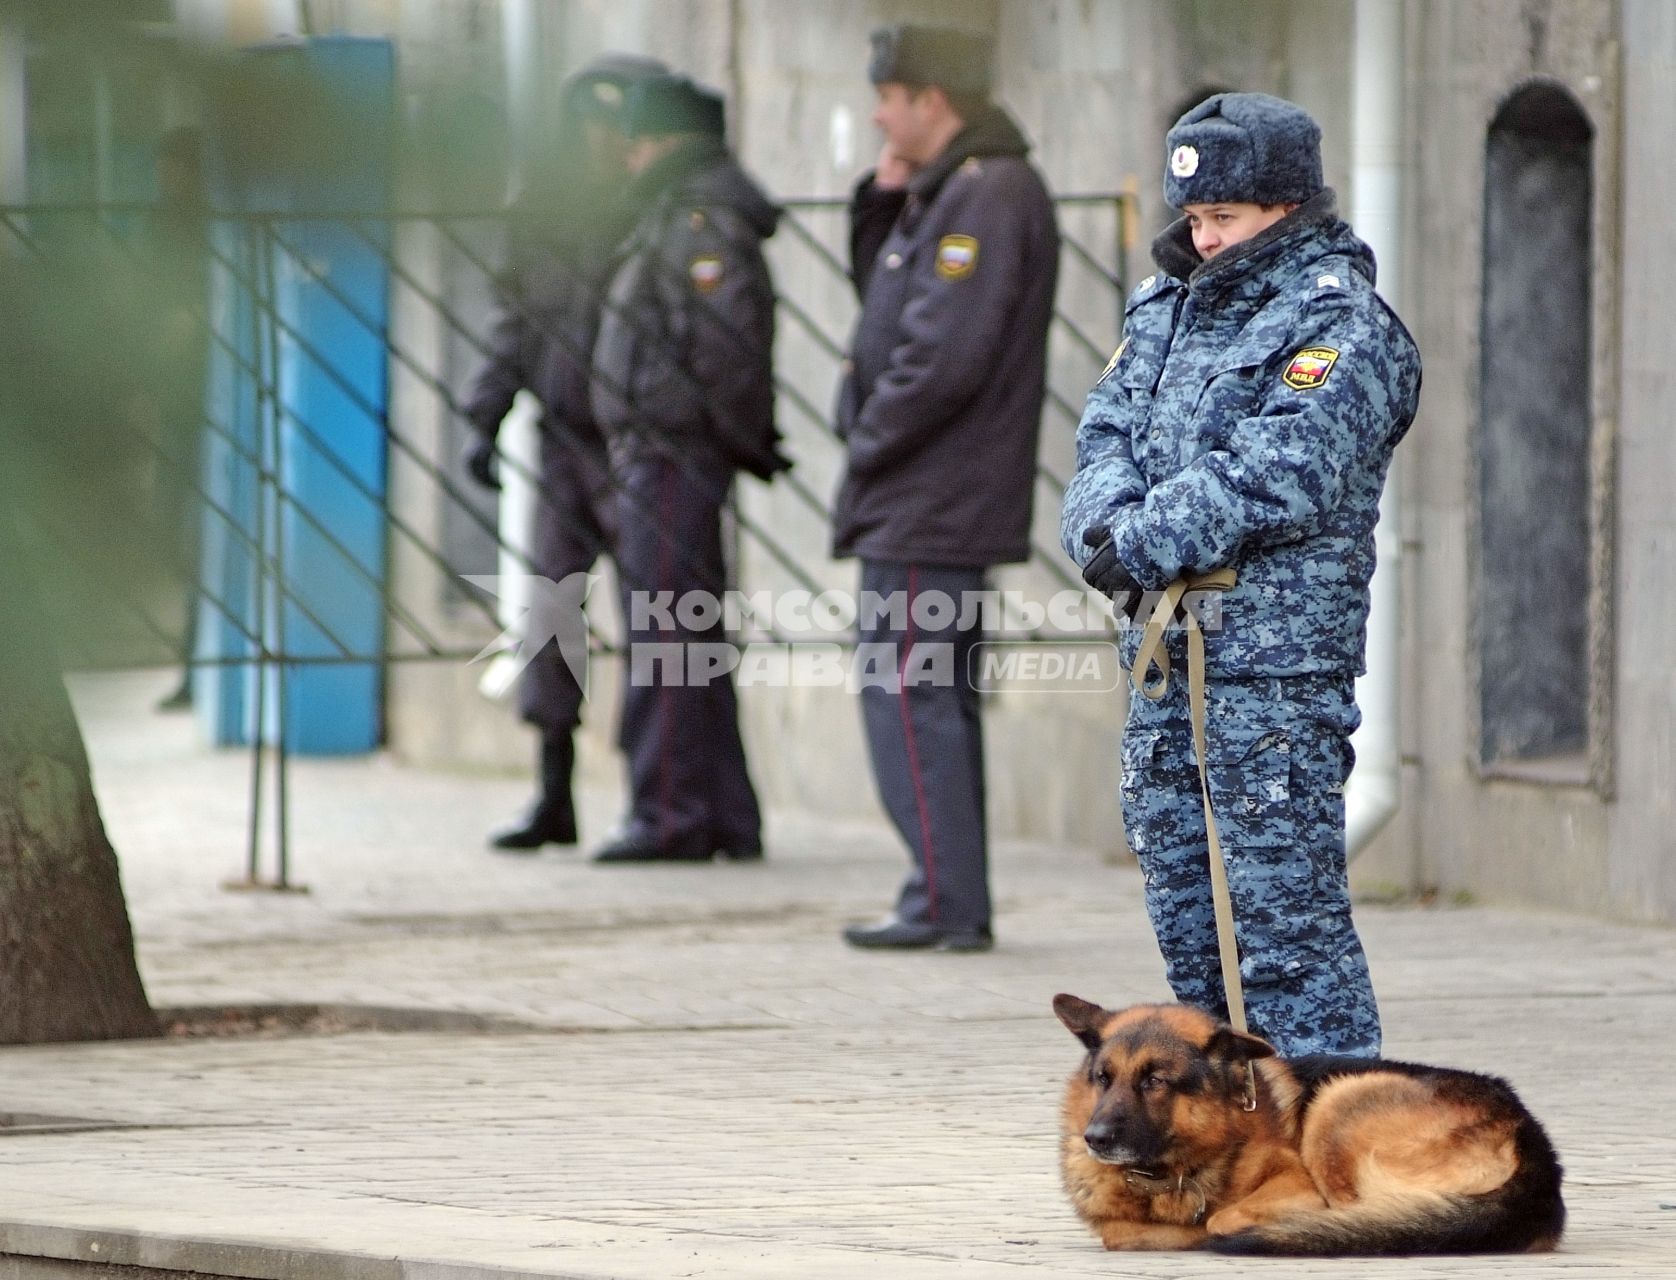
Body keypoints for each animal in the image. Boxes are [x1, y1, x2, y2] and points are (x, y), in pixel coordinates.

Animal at [1052, 991, 1562, 1253]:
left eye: (1155, 1081)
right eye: (1103, 1078)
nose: (1095, 1139)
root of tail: (1535, 1145)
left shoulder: (1297, 1183)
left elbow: (1218, 1220)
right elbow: (1120, 1232)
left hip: (1337, 1105)